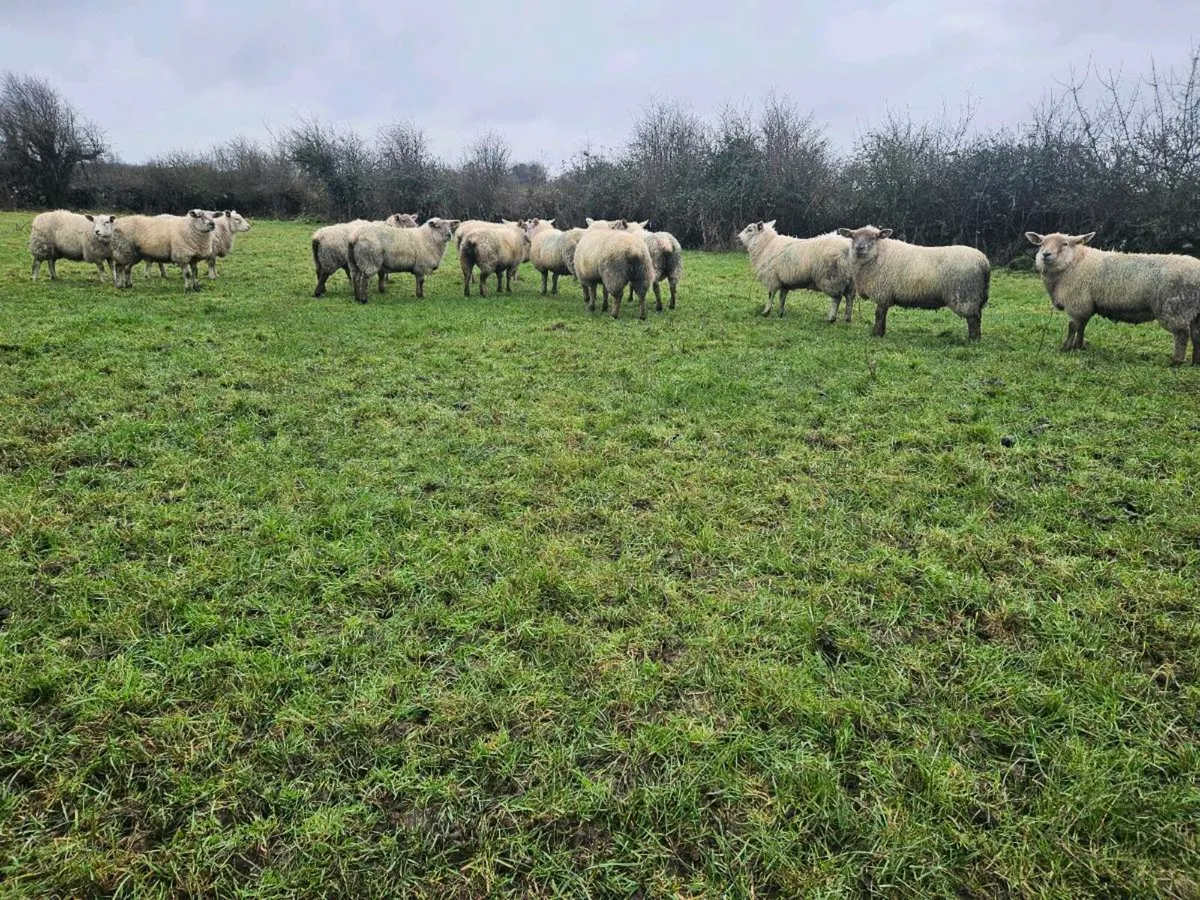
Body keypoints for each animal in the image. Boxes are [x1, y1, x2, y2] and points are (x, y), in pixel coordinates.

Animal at [837, 225, 990, 341]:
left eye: (873, 238)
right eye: (853, 237)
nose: (859, 247)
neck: (878, 254)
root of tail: (984, 261)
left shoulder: (883, 292)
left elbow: (879, 314)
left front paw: (876, 334)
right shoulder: (886, 295)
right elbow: (883, 315)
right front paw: (881, 333)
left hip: (965, 295)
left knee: (973, 318)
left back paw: (972, 340)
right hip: (975, 295)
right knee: (978, 316)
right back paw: (977, 338)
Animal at [1026, 231, 1200, 365]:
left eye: (1065, 244)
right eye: (1041, 243)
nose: (1045, 254)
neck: (1075, 263)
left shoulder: (1078, 302)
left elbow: (1073, 326)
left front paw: (1066, 347)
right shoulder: (1086, 305)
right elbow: (1081, 327)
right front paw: (1079, 346)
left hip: (1175, 307)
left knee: (1182, 333)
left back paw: (1177, 361)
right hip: (1194, 311)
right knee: (1196, 333)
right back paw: (1195, 362)